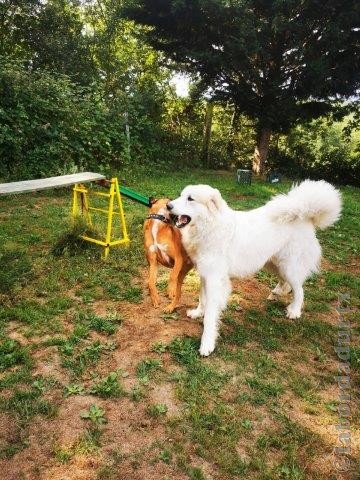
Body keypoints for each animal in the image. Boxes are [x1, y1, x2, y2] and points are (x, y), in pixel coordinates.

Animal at [167, 180, 342, 356]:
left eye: (190, 198)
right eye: (181, 195)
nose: (168, 206)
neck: (210, 226)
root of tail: (305, 214)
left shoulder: (214, 279)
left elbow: (210, 314)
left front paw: (207, 344)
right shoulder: (205, 275)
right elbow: (202, 299)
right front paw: (197, 313)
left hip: (288, 267)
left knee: (299, 290)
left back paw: (294, 311)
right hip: (273, 264)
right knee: (286, 283)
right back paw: (277, 293)